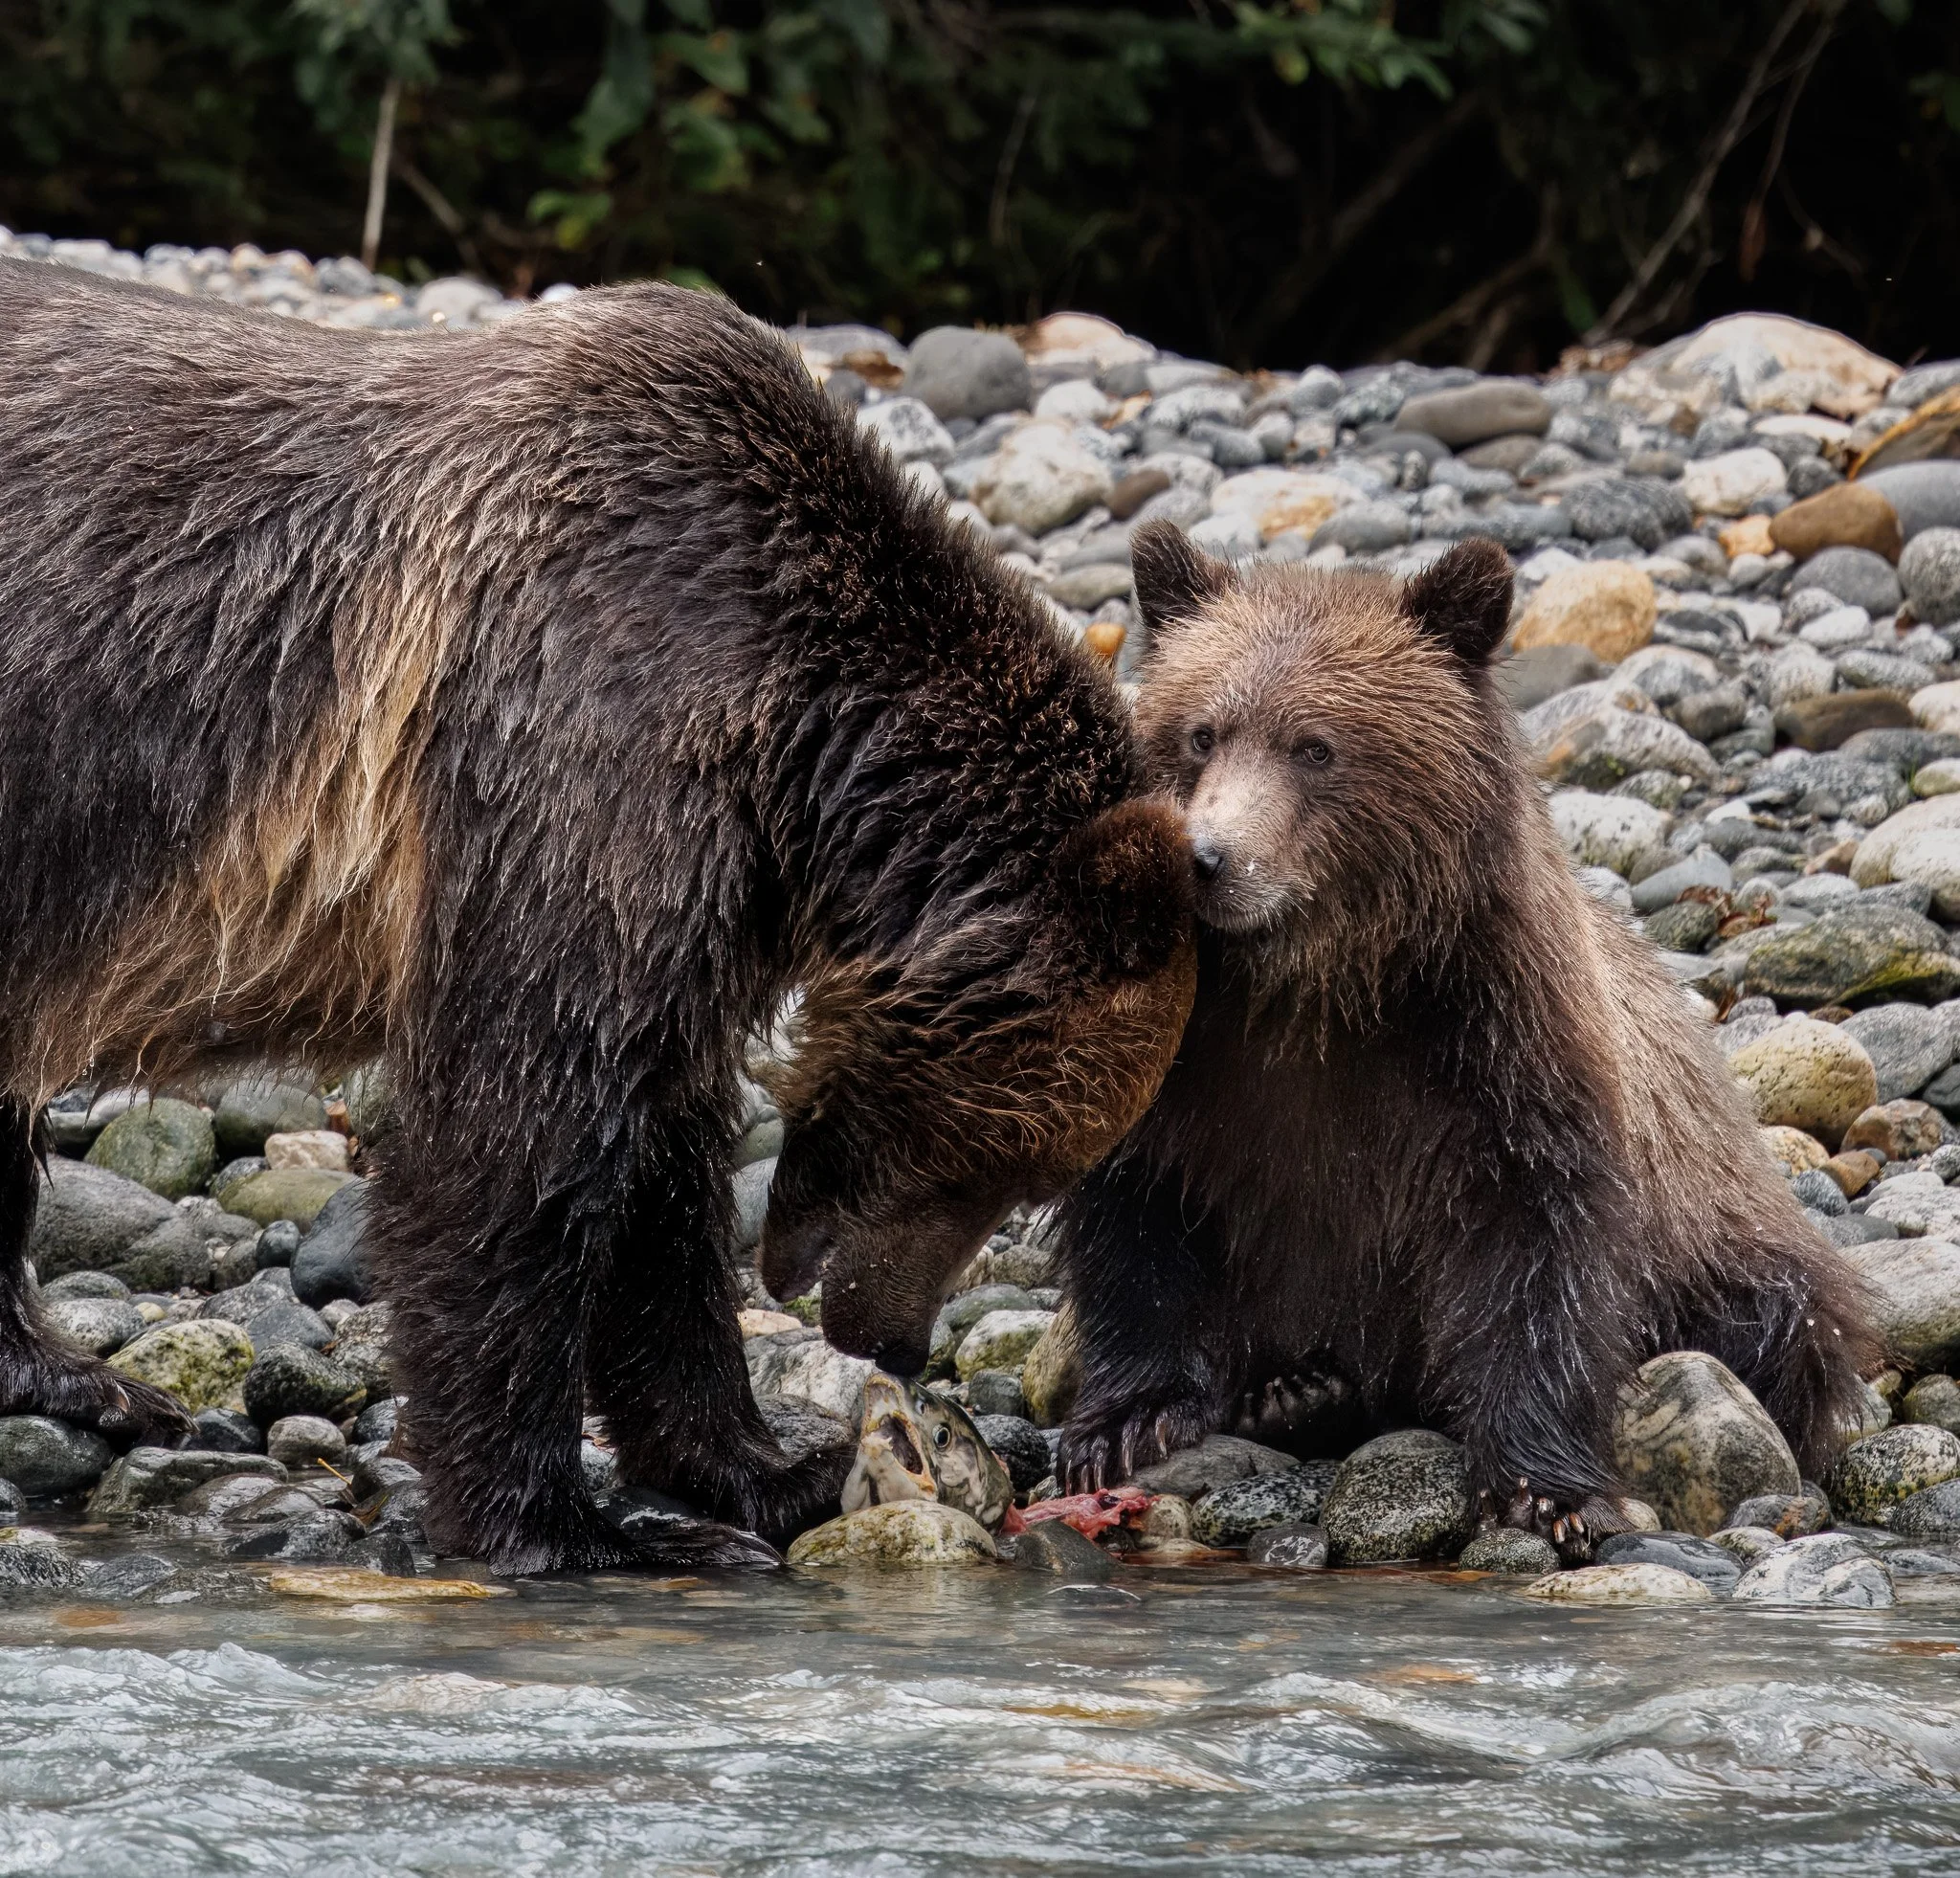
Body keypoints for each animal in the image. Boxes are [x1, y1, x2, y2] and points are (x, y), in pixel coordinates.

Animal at [0, 257, 1196, 1574]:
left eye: (1027, 1179)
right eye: (989, 1164)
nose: (887, 1342)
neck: (799, 756)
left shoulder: (695, 905)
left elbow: (662, 1184)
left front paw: (764, 1469)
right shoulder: (572, 759)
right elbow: (514, 1146)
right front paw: (555, 1525)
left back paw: (78, 1378)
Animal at [1054, 524, 1879, 1553]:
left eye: (1315, 746)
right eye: (1200, 732)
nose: (1207, 858)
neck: (1312, 986)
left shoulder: (1497, 1042)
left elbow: (1540, 1243)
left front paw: (1545, 1490)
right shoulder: (1189, 1054)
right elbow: (1138, 1212)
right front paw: (1123, 1423)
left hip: (1729, 1233)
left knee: (1779, 1325)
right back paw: (1297, 1388)